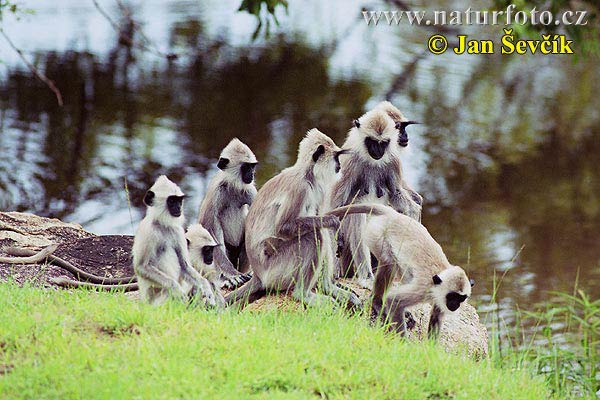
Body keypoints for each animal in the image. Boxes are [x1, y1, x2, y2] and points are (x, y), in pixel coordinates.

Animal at [133, 174, 218, 306]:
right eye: (172, 201)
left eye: (179, 201)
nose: (178, 208)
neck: (163, 225)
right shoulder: (148, 231)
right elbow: (141, 267)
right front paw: (176, 288)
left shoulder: (178, 231)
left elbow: (184, 266)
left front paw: (206, 288)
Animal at [195, 138, 255, 288]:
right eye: (246, 167)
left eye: (252, 167)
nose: (251, 174)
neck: (232, 185)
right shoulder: (216, 192)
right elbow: (209, 231)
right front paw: (233, 276)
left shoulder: (250, 190)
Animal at [226, 130, 360, 308]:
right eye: (336, 157)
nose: (339, 166)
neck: (308, 174)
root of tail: (258, 275)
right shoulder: (299, 188)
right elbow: (284, 227)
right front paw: (332, 221)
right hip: (275, 270)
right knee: (313, 235)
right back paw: (303, 294)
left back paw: (327, 287)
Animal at [326, 203, 476, 338]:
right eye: (452, 297)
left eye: (461, 298)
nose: (455, 305)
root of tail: (393, 215)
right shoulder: (423, 289)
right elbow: (393, 300)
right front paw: (403, 343)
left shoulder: (439, 298)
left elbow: (436, 316)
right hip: (376, 235)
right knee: (389, 263)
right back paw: (377, 302)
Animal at [328, 108, 422, 286]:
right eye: (372, 141)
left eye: (383, 143)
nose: (378, 151)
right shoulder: (349, 161)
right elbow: (337, 205)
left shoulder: (393, 161)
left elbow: (398, 195)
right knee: (357, 216)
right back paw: (366, 276)